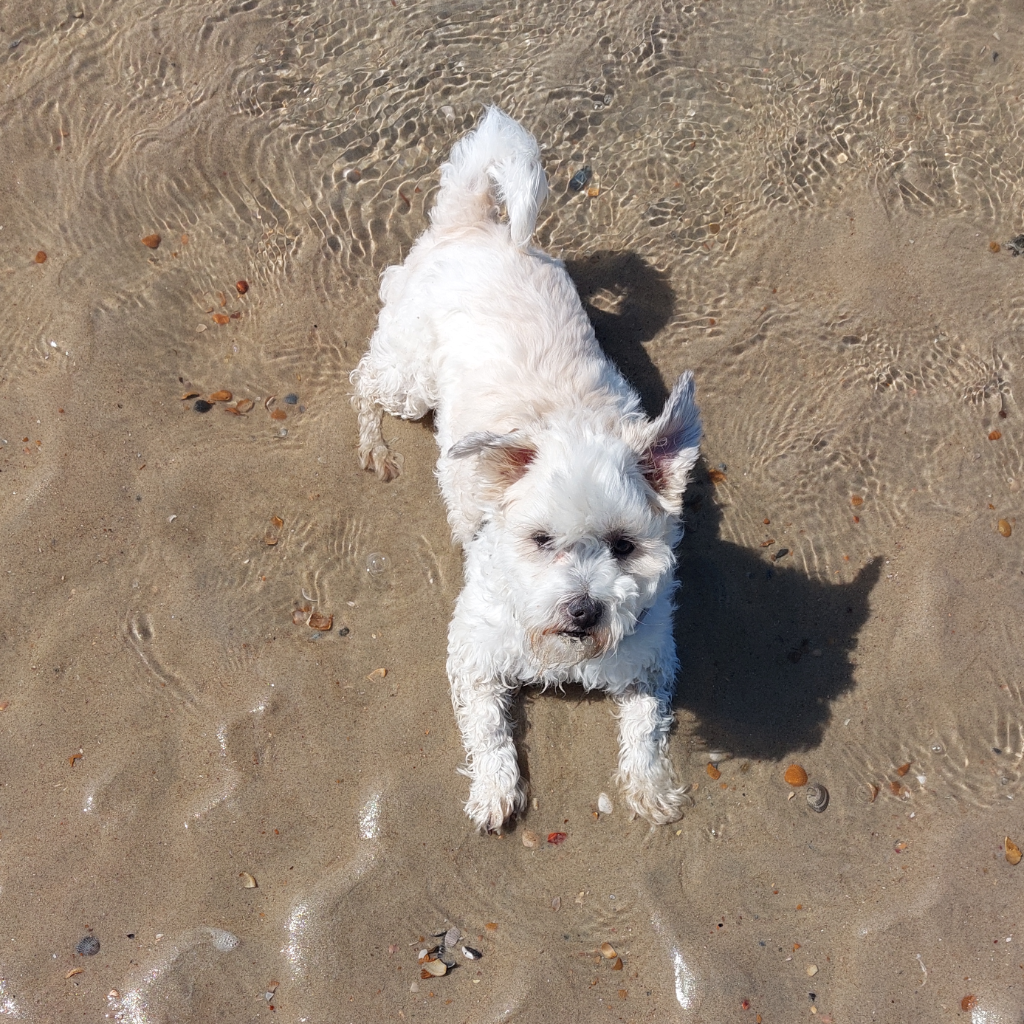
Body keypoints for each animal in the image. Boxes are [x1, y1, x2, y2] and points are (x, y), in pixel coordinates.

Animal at [354, 110, 704, 831]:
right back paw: (373, 442)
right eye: (541, 541)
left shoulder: (652, 655)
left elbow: (646, 726)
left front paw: (649, 786)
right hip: (411, 377)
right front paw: (494, 790)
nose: (583, 609)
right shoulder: (474, 653)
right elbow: (489, 732)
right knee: (367, 380)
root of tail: (476, 226)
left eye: (624, 547)